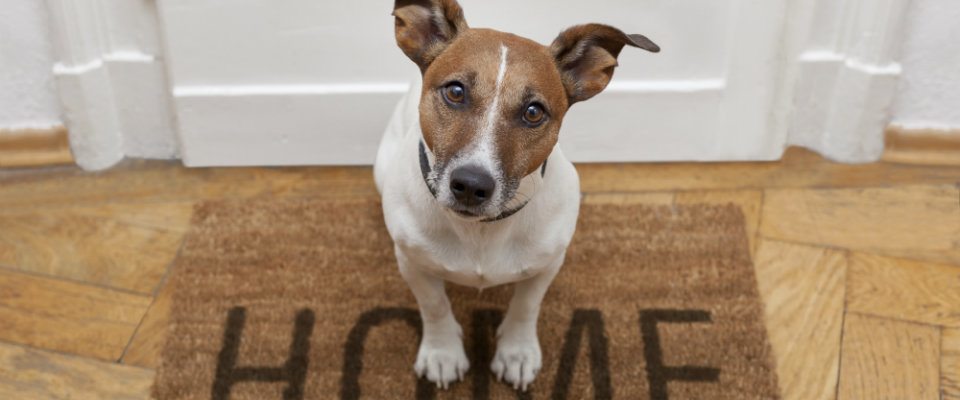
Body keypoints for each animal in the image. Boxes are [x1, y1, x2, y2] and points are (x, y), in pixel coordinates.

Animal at [376, 0, 660, 390]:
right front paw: (442, 352)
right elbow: (434, 305)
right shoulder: (412, 261)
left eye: (533, 112)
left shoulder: (548, 263)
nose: (471, 185)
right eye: (455, 91)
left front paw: (517, 352)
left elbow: (526, 306)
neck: (482, 230)